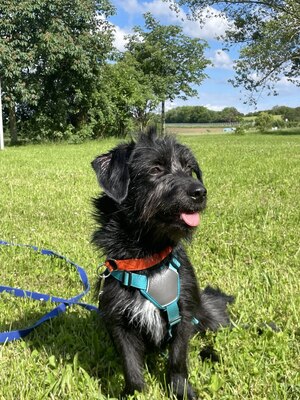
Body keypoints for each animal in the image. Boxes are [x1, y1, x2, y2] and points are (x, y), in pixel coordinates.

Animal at [91, 129, 234, 400]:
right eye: (156, 169)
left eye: (189, 169)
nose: (200, 192)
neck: (149, 259)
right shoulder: (119, 319)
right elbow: (130, 364)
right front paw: (134, 392)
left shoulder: (184, 314)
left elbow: (178, 361)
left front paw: (180, 391)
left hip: (208, 315)